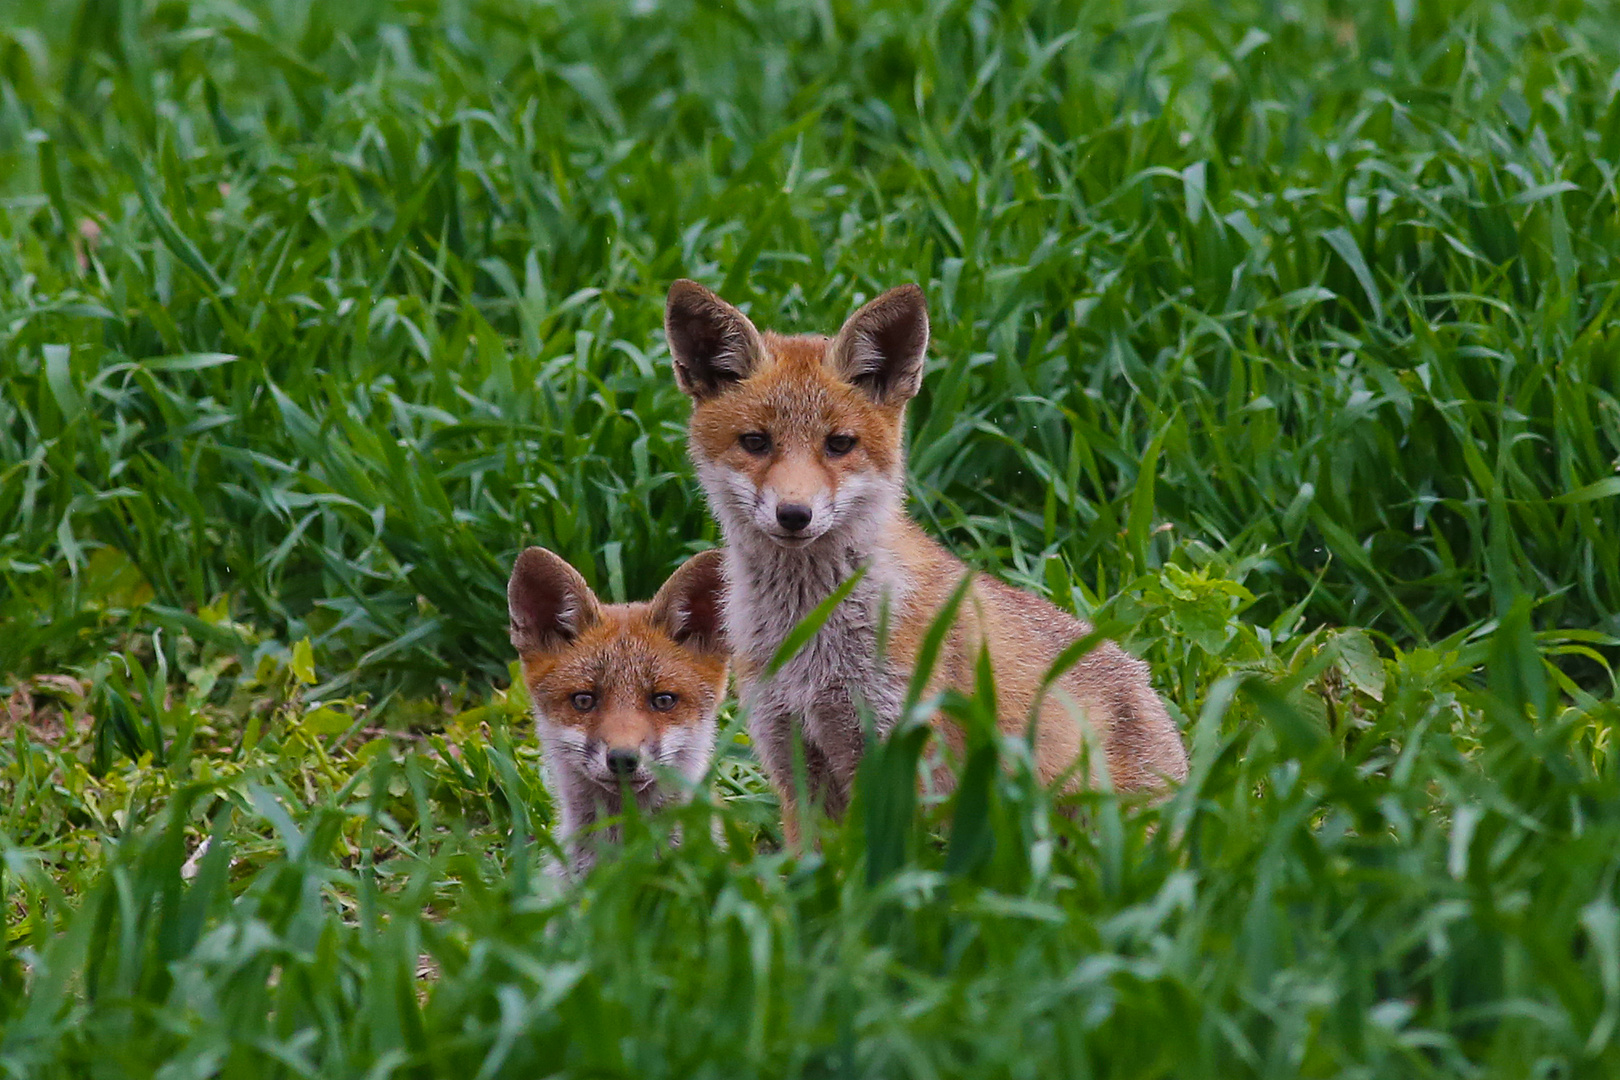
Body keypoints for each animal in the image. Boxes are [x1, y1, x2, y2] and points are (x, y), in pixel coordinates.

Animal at [660, 278, 1192, 841]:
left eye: (839, 444)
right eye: (756, 442)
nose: (794, 514)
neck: (813, 643)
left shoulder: (901, 757)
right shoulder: (794, 760)